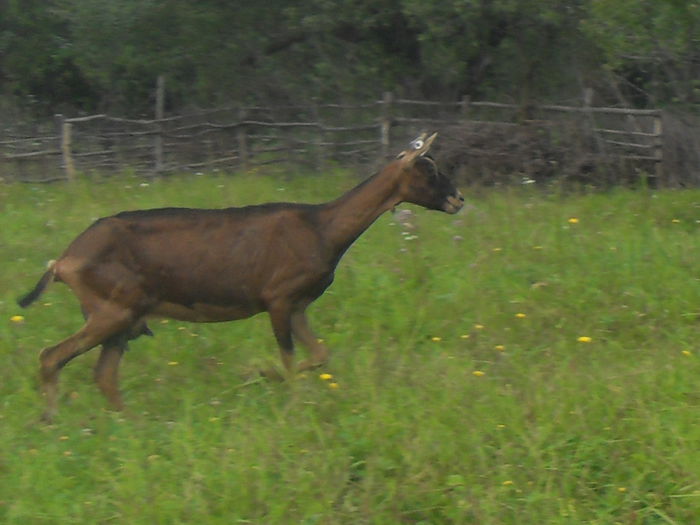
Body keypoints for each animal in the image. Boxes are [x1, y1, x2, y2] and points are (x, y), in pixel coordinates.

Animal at [16, 133, 462, 420]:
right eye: (427, 169)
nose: (458, 199)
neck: (323, 228)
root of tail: (62, 262)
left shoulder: (297, 304)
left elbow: (320, 354)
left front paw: (262, 377)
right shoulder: (277, 297)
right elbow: (289, 360)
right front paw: (272, 385)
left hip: (124, 316)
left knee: (103, 375)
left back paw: (131, 422)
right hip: (113, 308)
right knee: (51, 356)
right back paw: (51, 418)